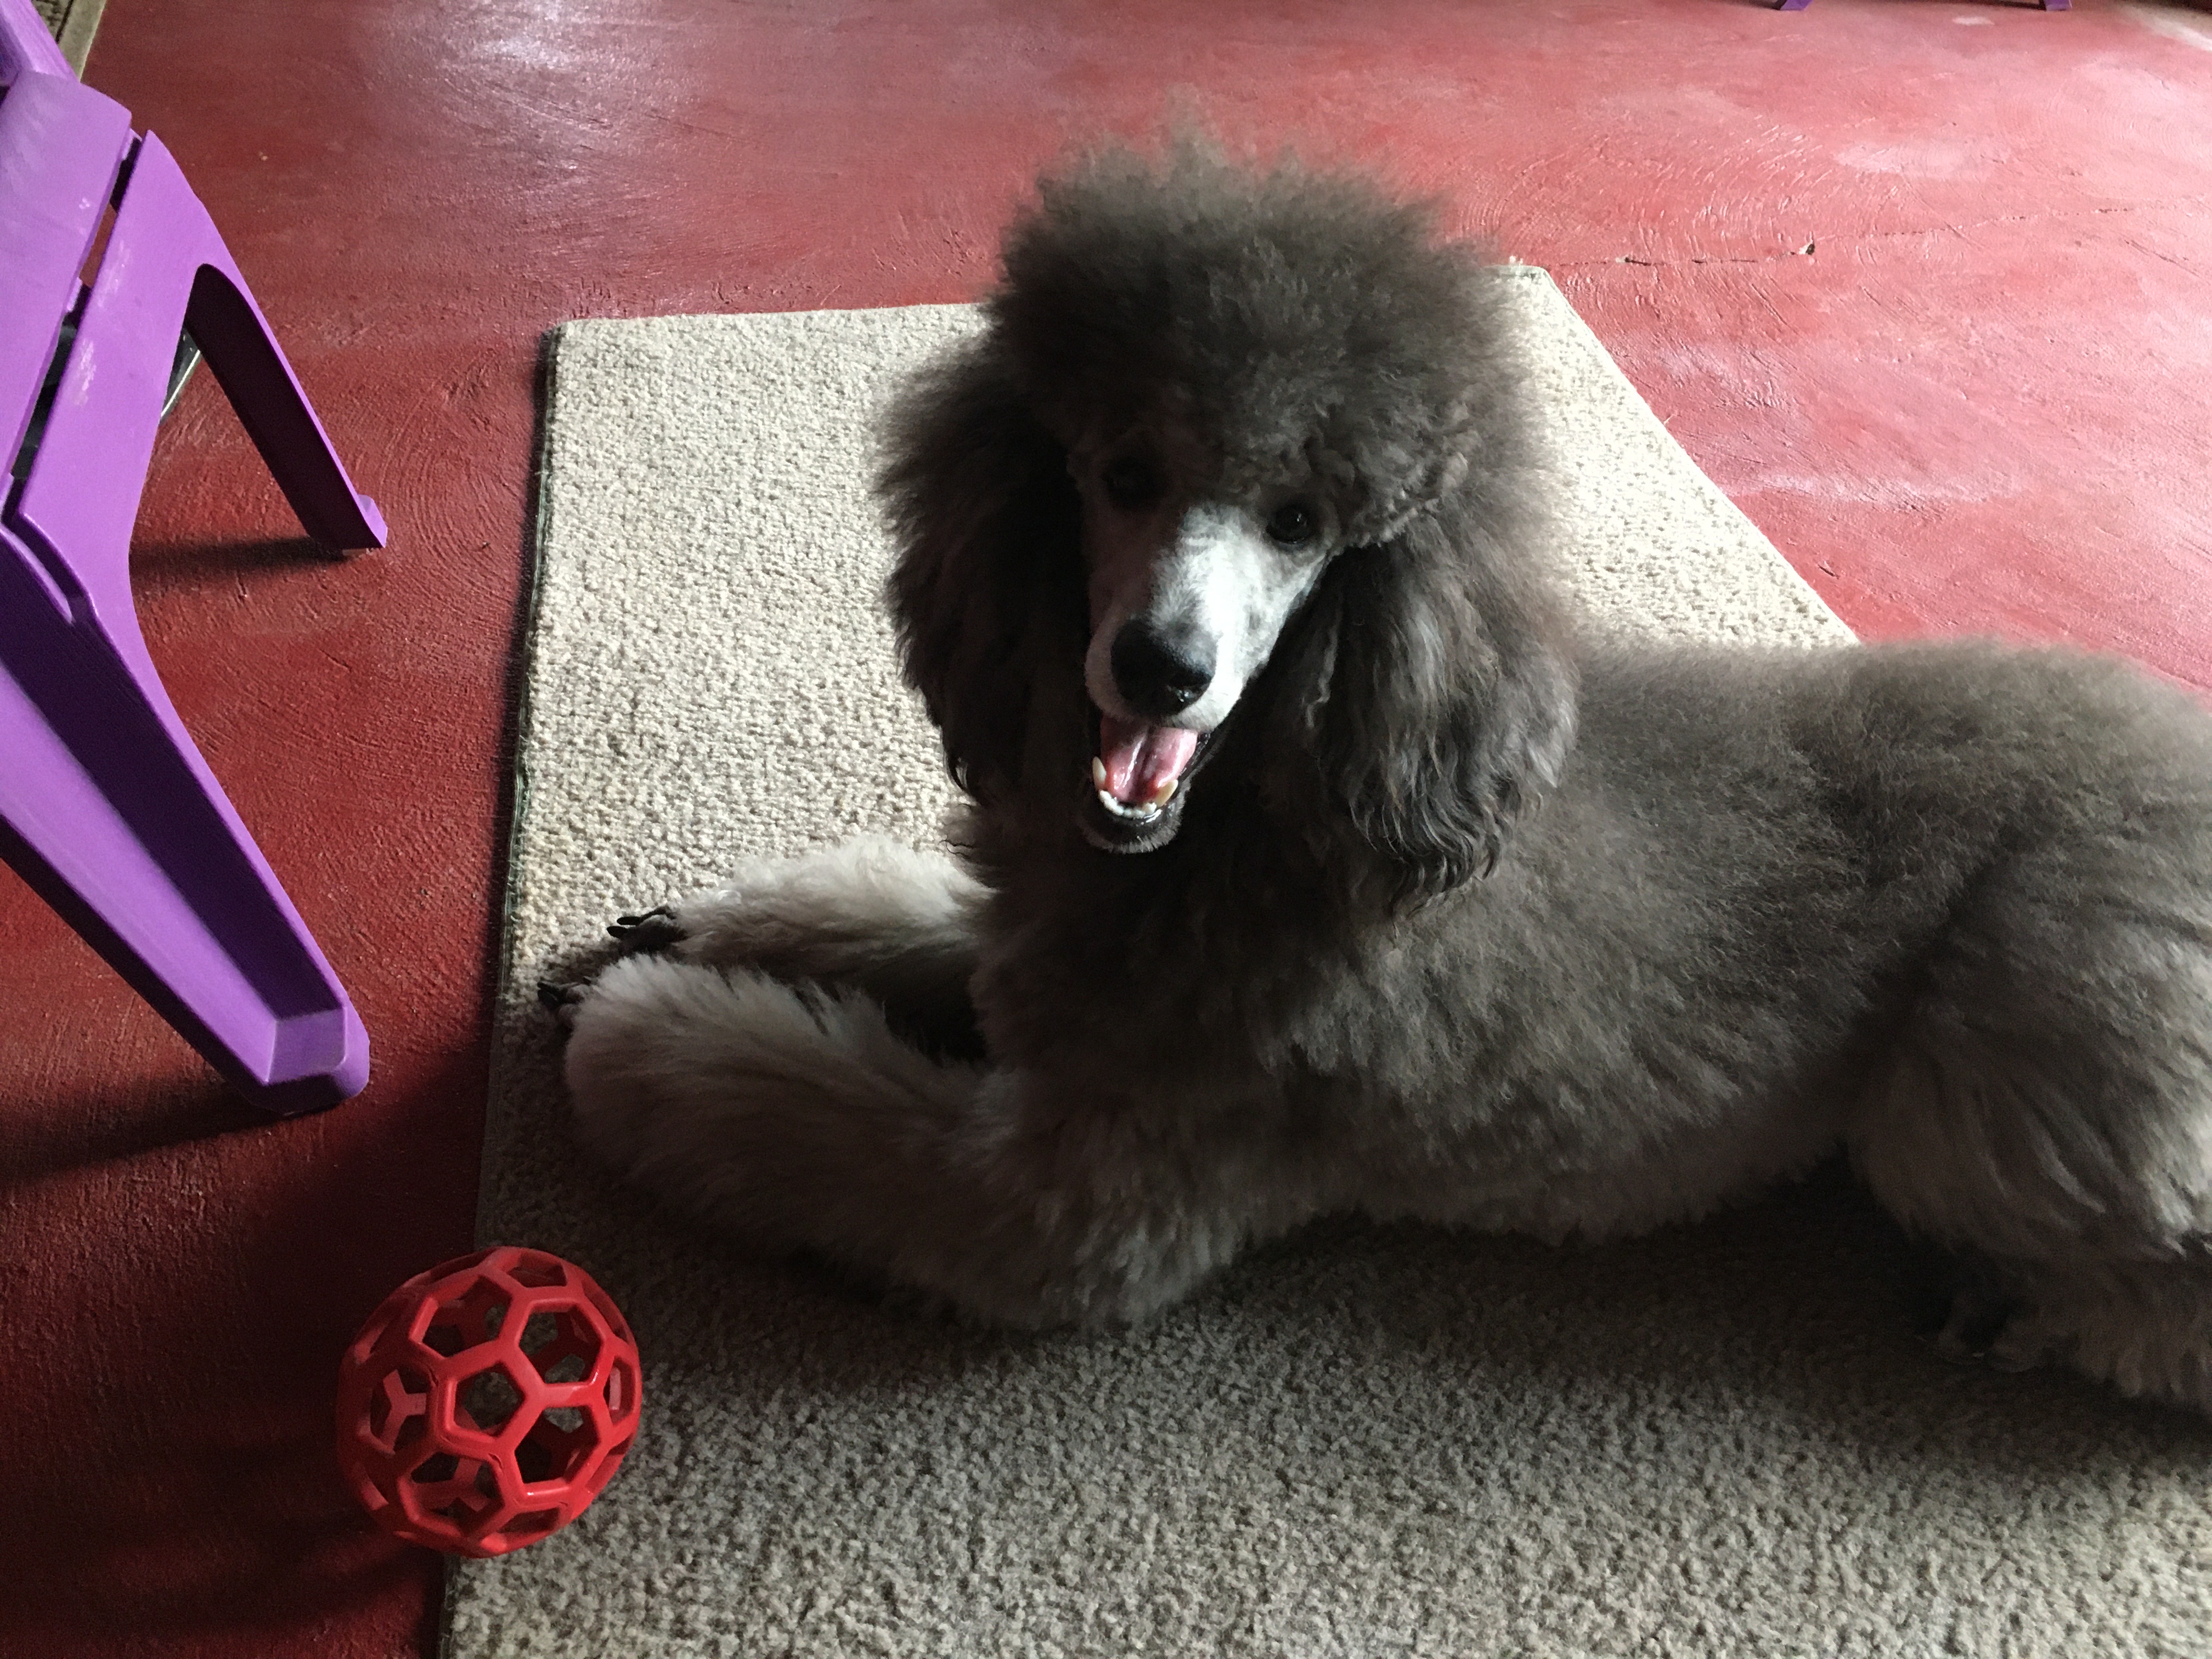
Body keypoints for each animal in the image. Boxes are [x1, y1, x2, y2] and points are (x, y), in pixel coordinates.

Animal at [549, 143, 2212, 1417]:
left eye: (1301, 522)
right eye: (1123, 473)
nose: (1161, 667)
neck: (1270, 820)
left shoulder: (1075, 1207)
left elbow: (786, 1107)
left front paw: (645, 1030)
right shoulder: (1049, 965)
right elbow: (922, 930)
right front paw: (720, 932)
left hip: (2000, 1081)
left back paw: (2038, 1316)